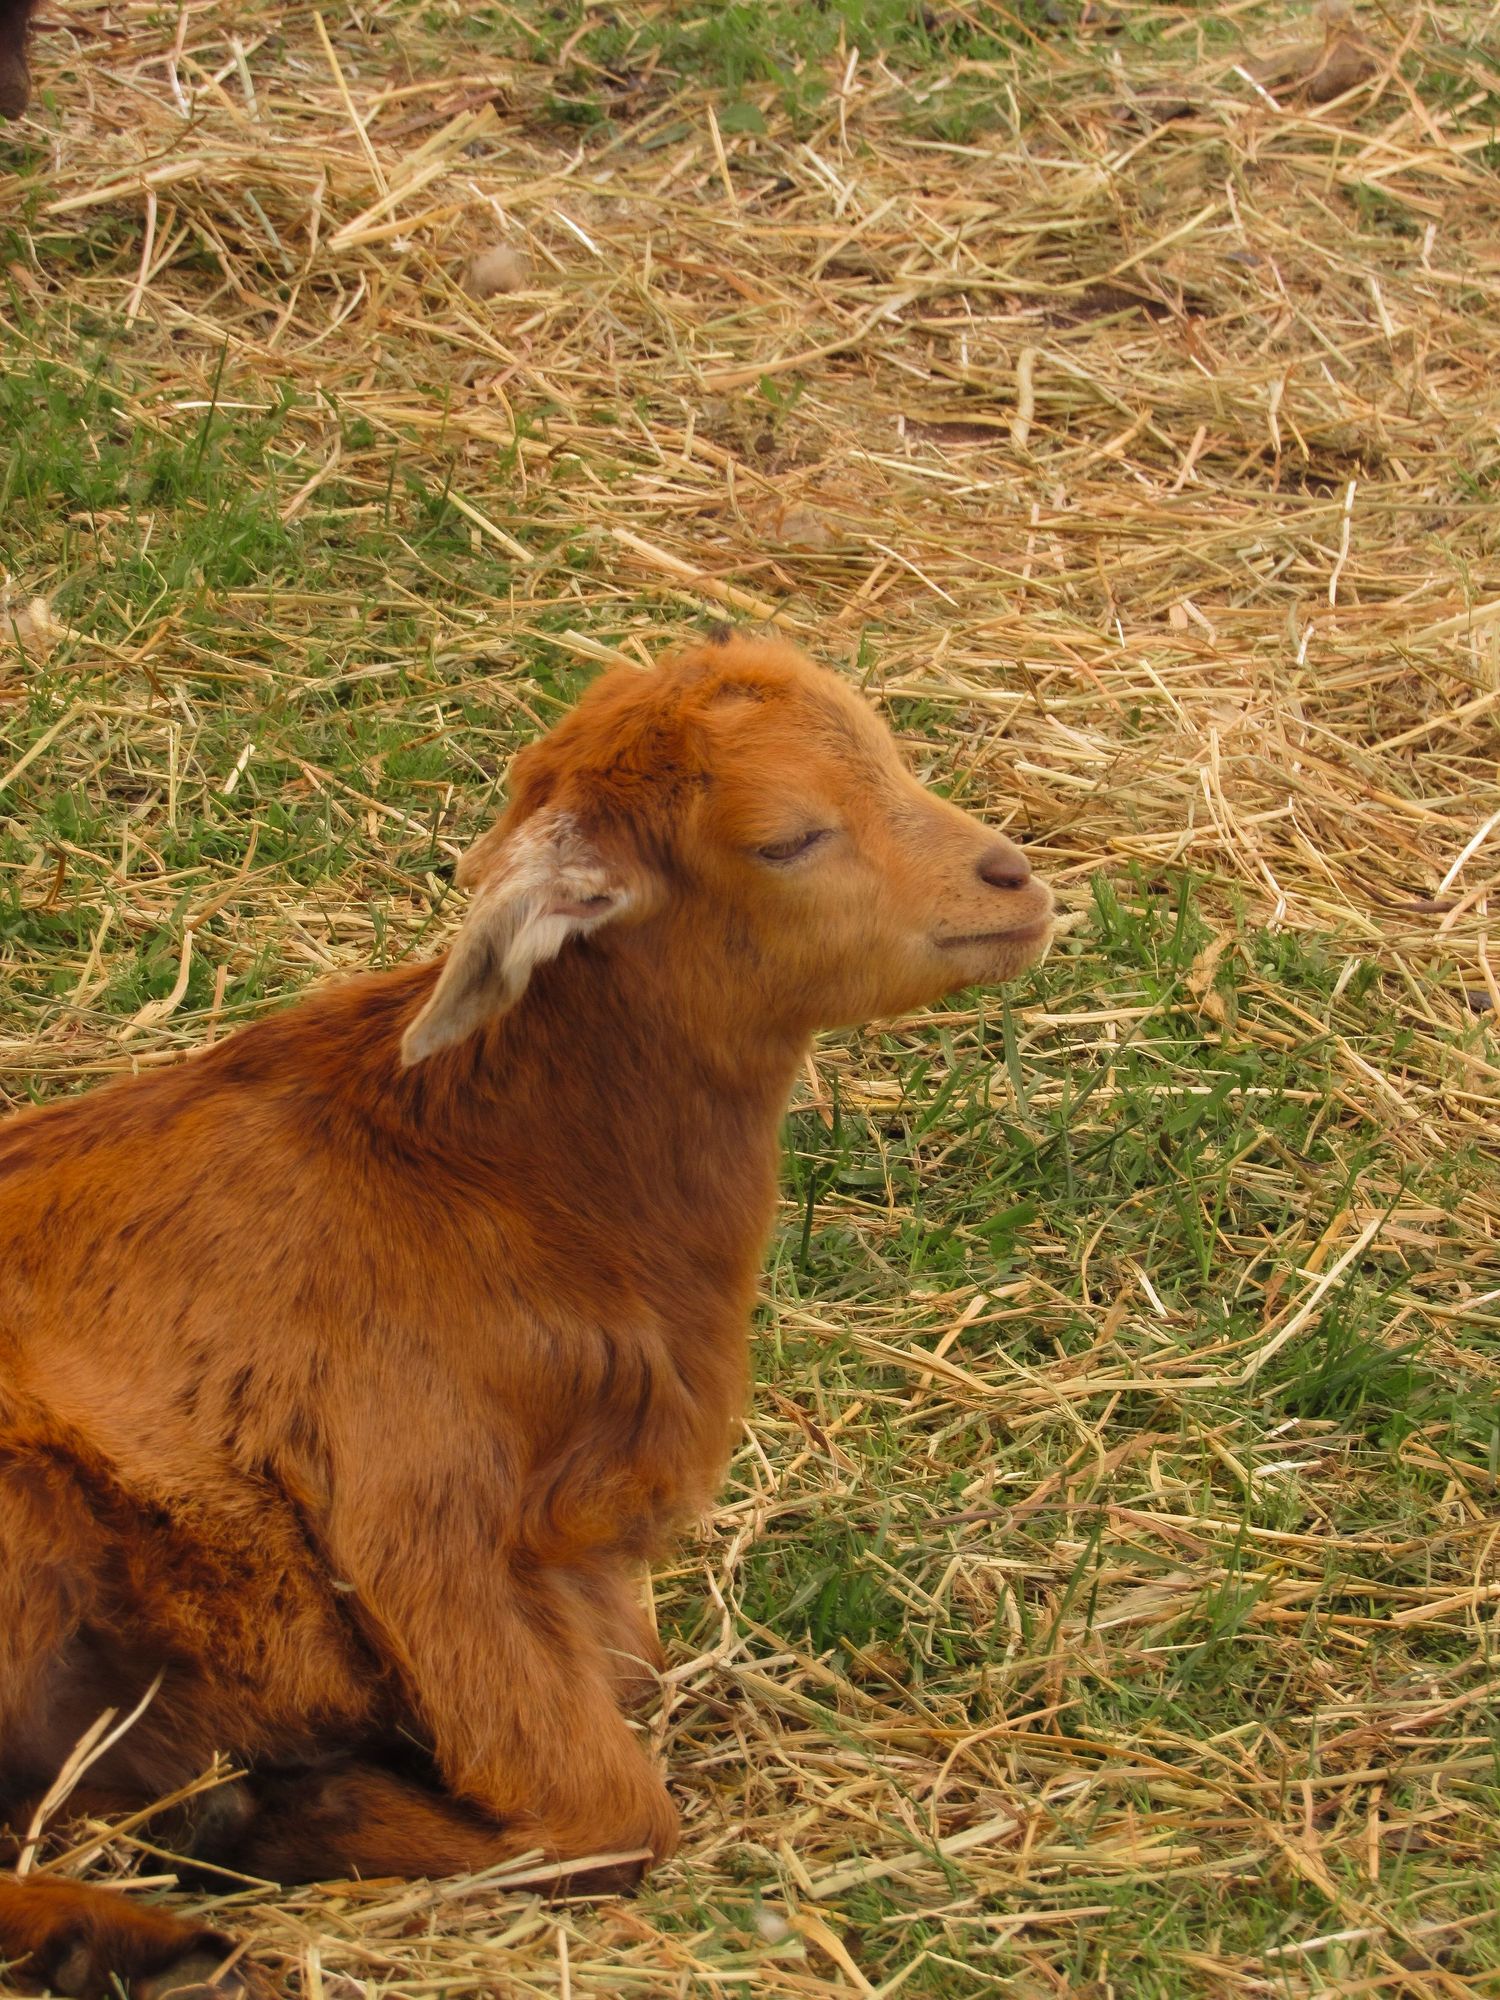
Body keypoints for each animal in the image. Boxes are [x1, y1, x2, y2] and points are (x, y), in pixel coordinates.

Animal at [0, 634, 1054, 1996]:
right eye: (786, 837)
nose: (1014, 882)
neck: (491, 1169)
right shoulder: (415, 1514)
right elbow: (612, 1814)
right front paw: (281, 1810)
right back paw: (145, 1908)